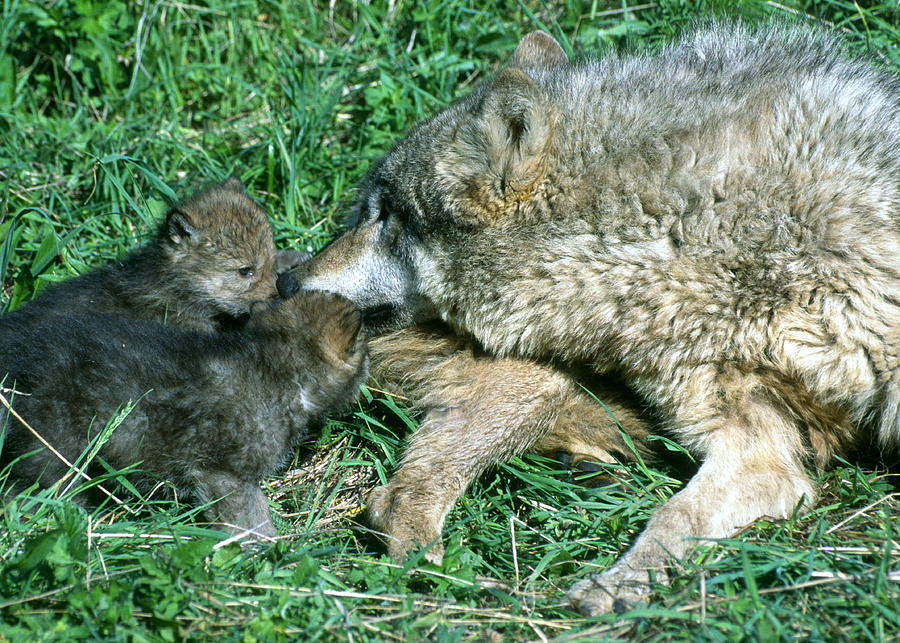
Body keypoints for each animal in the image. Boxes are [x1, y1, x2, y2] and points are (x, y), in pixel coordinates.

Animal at [284, 27, 900, 616]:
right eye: (365, 212)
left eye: (386, 217)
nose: (287, 282)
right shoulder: (747, 434)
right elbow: (679, 514)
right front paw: (623, 585)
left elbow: (677, 514)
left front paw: (618, 584)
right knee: (399, 497)